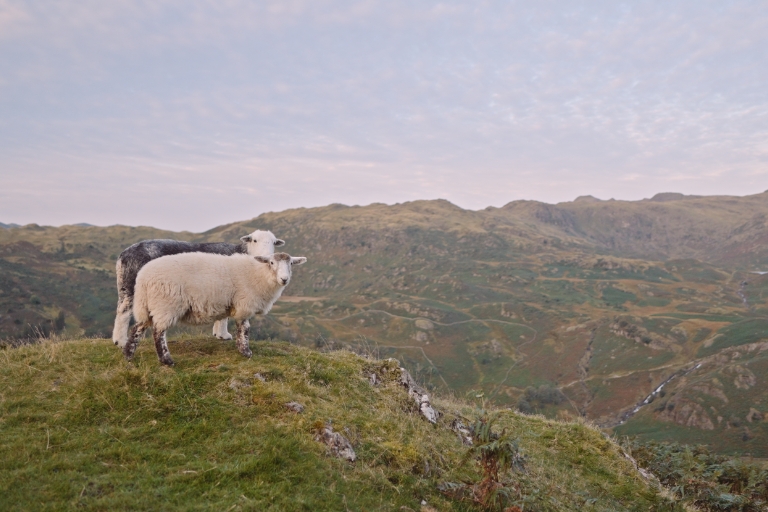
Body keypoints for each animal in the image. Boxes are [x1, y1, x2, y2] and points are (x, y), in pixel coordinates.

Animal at [111, 229, 284, 348]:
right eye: (254, 240)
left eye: (274, 242)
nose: (267, 257)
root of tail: (123, 256)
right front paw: (223, 334)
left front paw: (218, 334)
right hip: (132, 282)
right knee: (124, 311)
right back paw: (120, 341)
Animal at [126, 251, 306, 364]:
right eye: (271, 262)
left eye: (291, 263)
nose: (284, 279)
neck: (259, 274)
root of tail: (142, 277)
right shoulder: (244, 304)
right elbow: (244, 328)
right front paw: (245, 351)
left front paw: (241, 348)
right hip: (166, 304)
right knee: (159, 332)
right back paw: (166, 360)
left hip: (148, 306)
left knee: (137, 328)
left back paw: (128, 354)